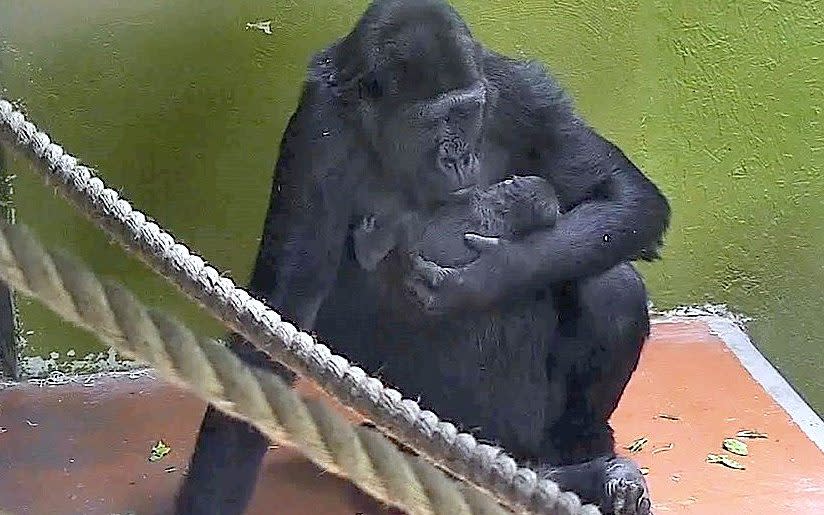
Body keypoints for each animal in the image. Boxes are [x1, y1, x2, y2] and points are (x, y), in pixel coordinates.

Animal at [174, 1, 668, 515]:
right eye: (433, 122)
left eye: (468, 113)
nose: (459, 158)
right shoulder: (316, 134)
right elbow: (280, 317)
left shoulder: (521, 90)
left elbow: (626, 196)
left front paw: (484, 279)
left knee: (611, 286)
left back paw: (585, 457)